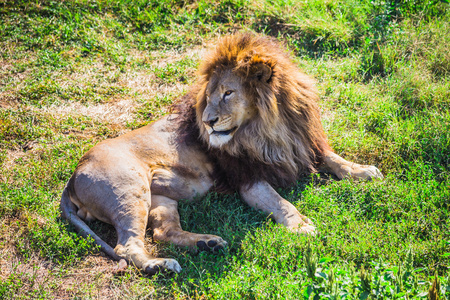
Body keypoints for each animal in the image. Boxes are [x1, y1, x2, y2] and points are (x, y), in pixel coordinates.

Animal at [59, 32, 384, 274]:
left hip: (160, 198)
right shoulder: (247, 177)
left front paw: (364, 170)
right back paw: (160, 265)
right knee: (126, 246)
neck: (269, 126)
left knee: (164, 232)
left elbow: (332, 157)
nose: (207, 121)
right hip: (129, 190)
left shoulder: (300, 146)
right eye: (208, 96)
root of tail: (74, 175)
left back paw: (207, 243)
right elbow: (280, 202)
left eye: (228, 93)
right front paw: (300, 225)